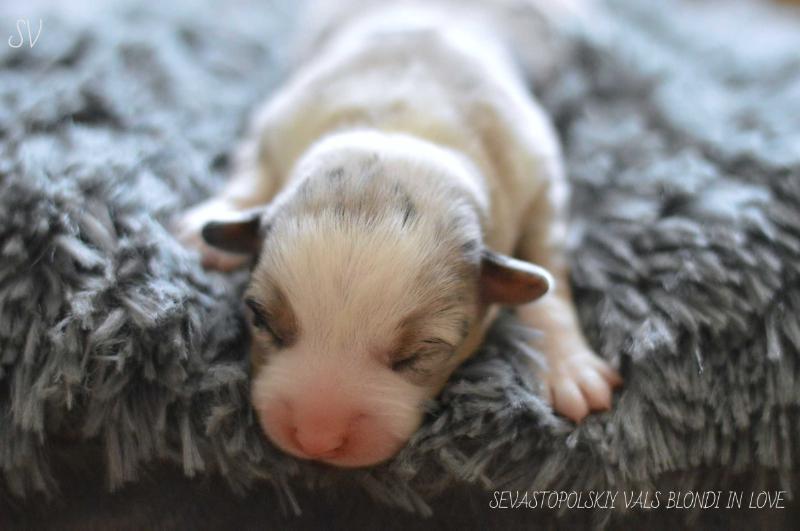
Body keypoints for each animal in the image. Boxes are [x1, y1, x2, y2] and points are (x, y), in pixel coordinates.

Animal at [178, 0, 620, 468]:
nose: (317, 440)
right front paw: (212, 219)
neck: (401, 133)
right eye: (262, 320)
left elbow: (546, 275)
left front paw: (568, 365)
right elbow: (252, 169)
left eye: (418, 354)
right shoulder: (279, 124)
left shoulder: (539, 178)